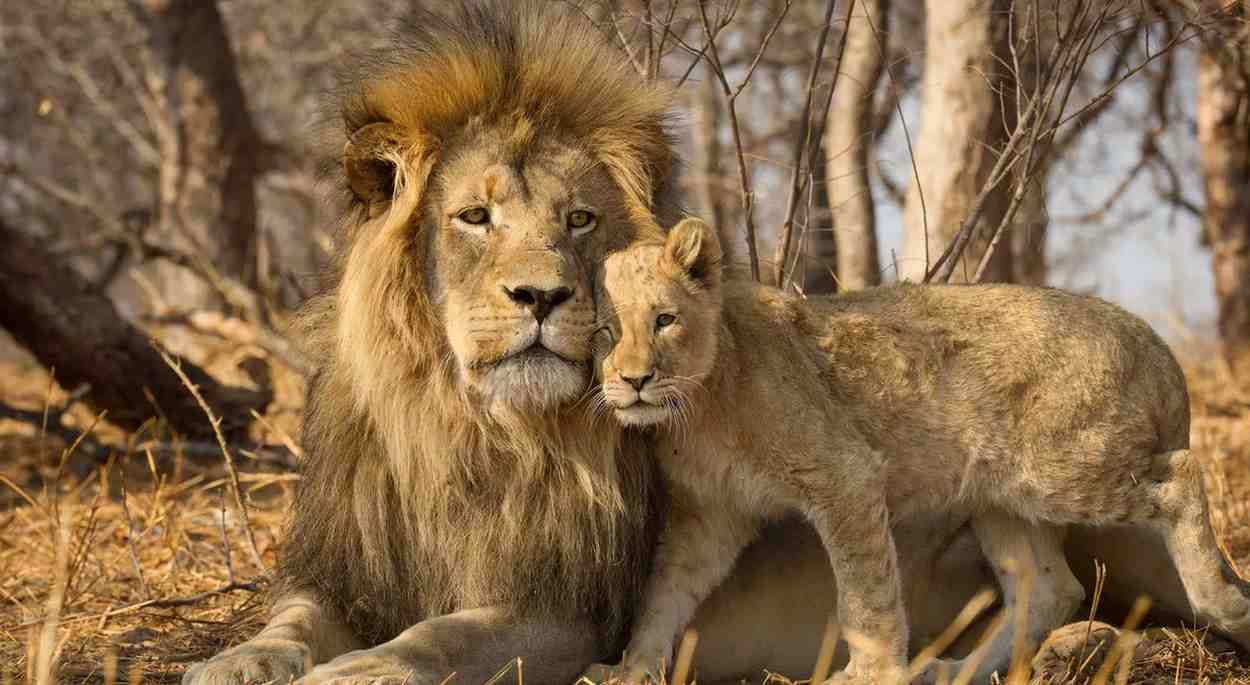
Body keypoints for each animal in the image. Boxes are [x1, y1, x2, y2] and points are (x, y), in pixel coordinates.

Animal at [586, 218, 1250, 684]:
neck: (696, 410)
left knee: (1181, 476)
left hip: (1063, 466)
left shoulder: (844, 476)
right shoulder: (709, 515)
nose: (635, 380)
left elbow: (865, 594)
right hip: (1003, 496)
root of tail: (1154, 343)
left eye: (664, 319)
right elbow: (664, 595)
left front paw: (870, 674)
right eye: (605, 331)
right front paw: (629, 669)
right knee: (1048, 588)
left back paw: (1224, 602)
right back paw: (952, 670)